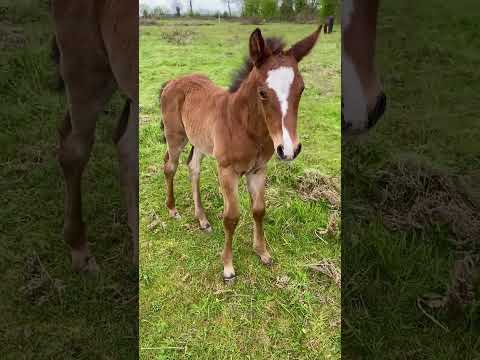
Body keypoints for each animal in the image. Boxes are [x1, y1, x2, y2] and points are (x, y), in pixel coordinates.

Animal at [160, 26, 322, 282]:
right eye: (262, 93)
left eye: (302, 88)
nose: (288, 150)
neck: (245, 127)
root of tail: (173, 81)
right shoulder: (227, 171)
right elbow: (232, 217)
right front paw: (228, 267)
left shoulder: (258, 170)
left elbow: (259, 210)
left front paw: (262, 252)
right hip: (175, 136)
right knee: (170, 167)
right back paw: (173, 210)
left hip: (199, 142)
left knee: (193, 168)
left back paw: (202, 219)